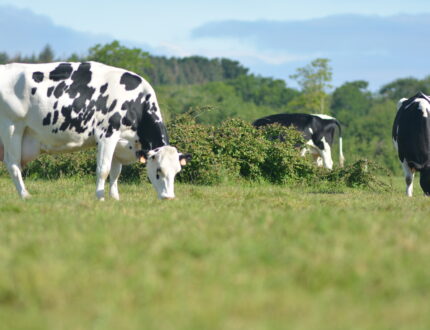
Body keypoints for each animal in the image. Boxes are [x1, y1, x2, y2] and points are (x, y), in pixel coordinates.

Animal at [0, 62, 190, 201]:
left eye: (177, 172)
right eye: (158, 170)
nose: (169, 197)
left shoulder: (119, 144)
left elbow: (115, 172)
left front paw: (115, 198)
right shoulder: (107, 135)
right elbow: (103, 169)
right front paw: (100, 198)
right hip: (12, 126)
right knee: (13, 163)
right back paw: (25, 195)